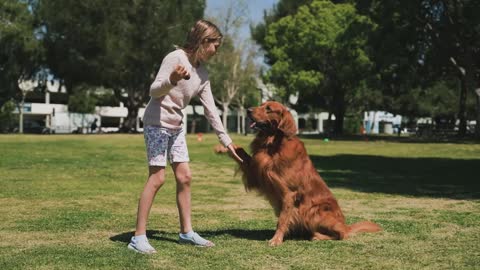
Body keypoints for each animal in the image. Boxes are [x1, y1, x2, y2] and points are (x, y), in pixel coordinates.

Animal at [231, 101, 380, 247]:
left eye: (268, 108)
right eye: (261, 105)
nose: (248, 110)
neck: (273, 145)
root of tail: (345, 225)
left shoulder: (289, 193)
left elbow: (282, 219)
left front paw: (276, 239)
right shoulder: (258, 175)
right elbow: (241, 153)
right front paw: (228, 147)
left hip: (314, 212)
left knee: (342, 234)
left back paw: (318, 236)